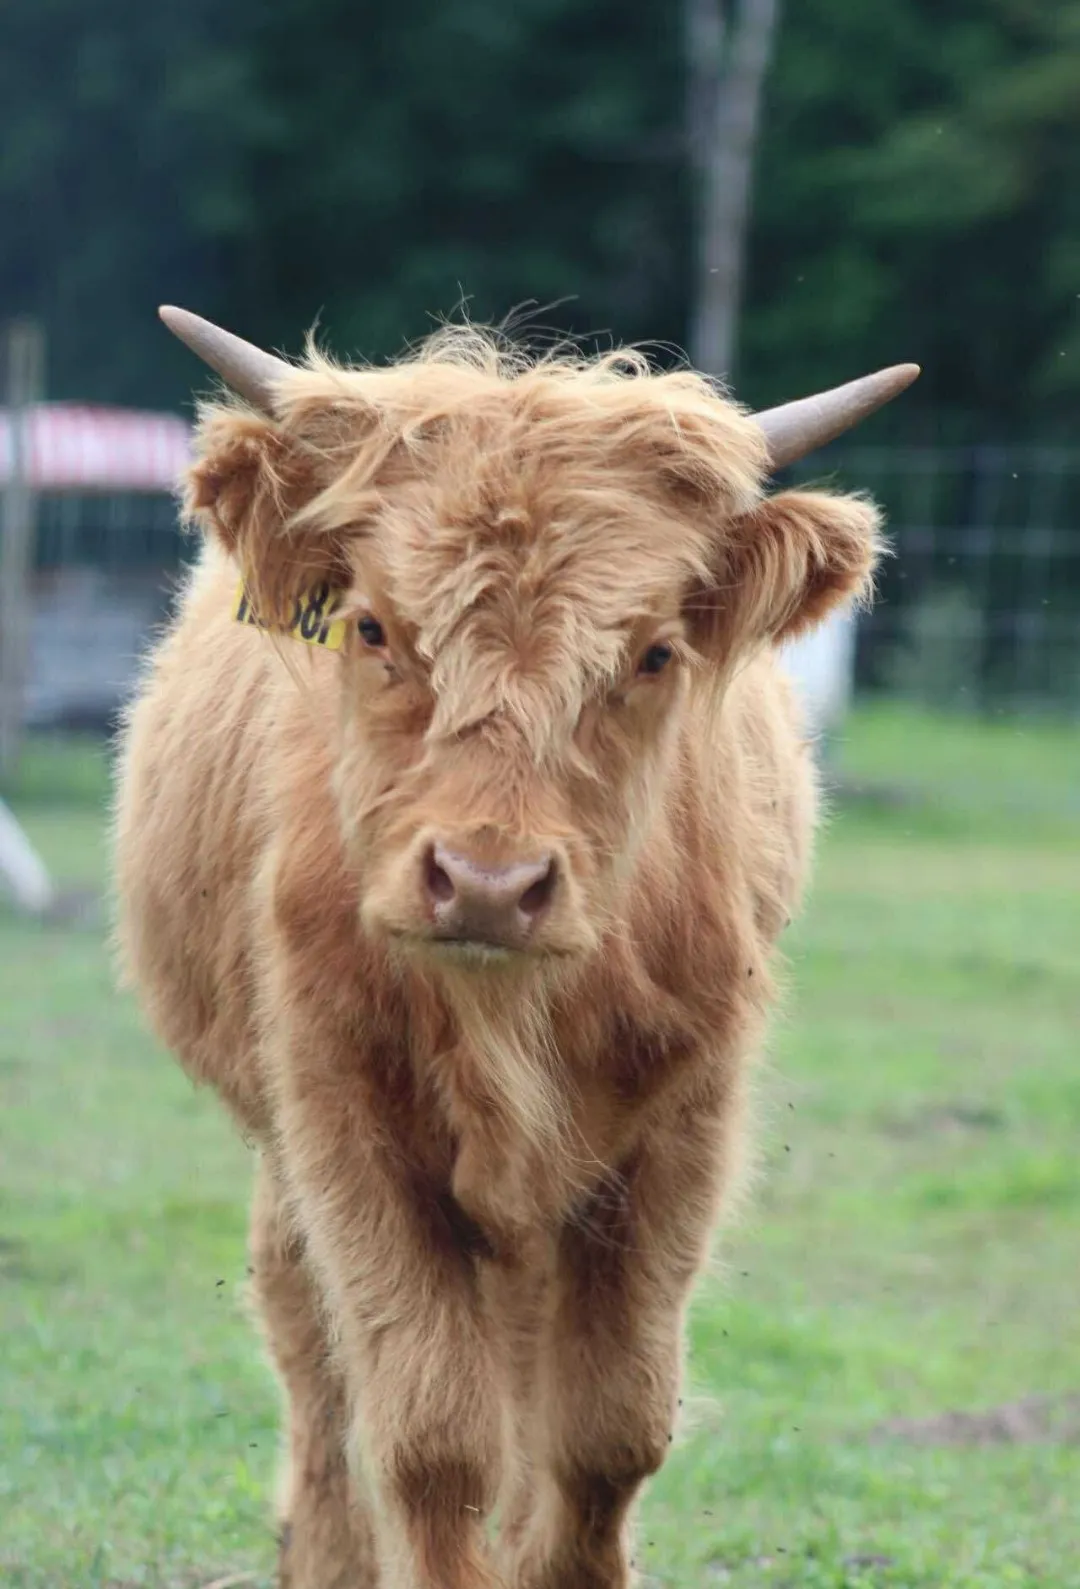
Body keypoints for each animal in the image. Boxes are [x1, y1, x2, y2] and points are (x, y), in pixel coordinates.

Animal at [113, 307, 917, 1589]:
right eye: (375, 626)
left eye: (652, 654)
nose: (489, 884)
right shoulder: (343, 1115)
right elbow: (431, 1433)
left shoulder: (678, 1132)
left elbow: (608, 1425)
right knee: (309, 1339)